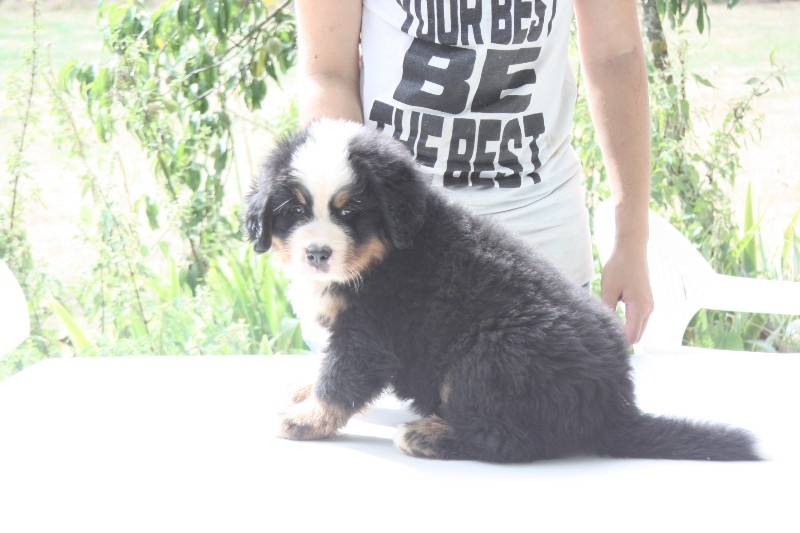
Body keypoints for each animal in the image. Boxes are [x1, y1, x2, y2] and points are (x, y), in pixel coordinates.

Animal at [244, 119, 759, 463]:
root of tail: (614, 404)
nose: (316, 253)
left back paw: (430, 436)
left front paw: (306, 420)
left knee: (515, 442)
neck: (387, 252)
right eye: (295, 210)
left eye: (349, 212)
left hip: (489, 357)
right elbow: (326, 369)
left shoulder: (368, 333)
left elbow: (340, 380)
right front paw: (305, 389)